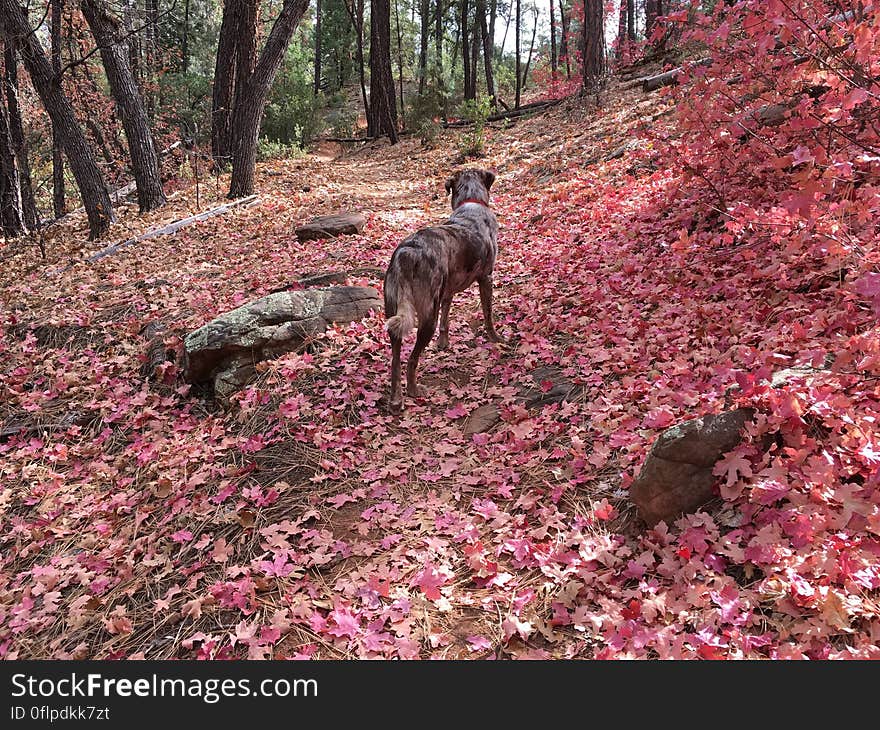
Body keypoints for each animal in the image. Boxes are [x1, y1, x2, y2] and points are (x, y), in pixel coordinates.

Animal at [384, 167, 502, 412]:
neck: (471, 202)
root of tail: (406, 253)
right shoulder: (486, 278)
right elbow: (488, 315)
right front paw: (496, 338)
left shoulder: (446, 293)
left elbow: (446, 319)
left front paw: (444, 343)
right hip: (428, 314)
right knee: (412, 359)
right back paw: (413, 390)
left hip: (394, 311)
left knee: (396, 358)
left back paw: (396, 399)